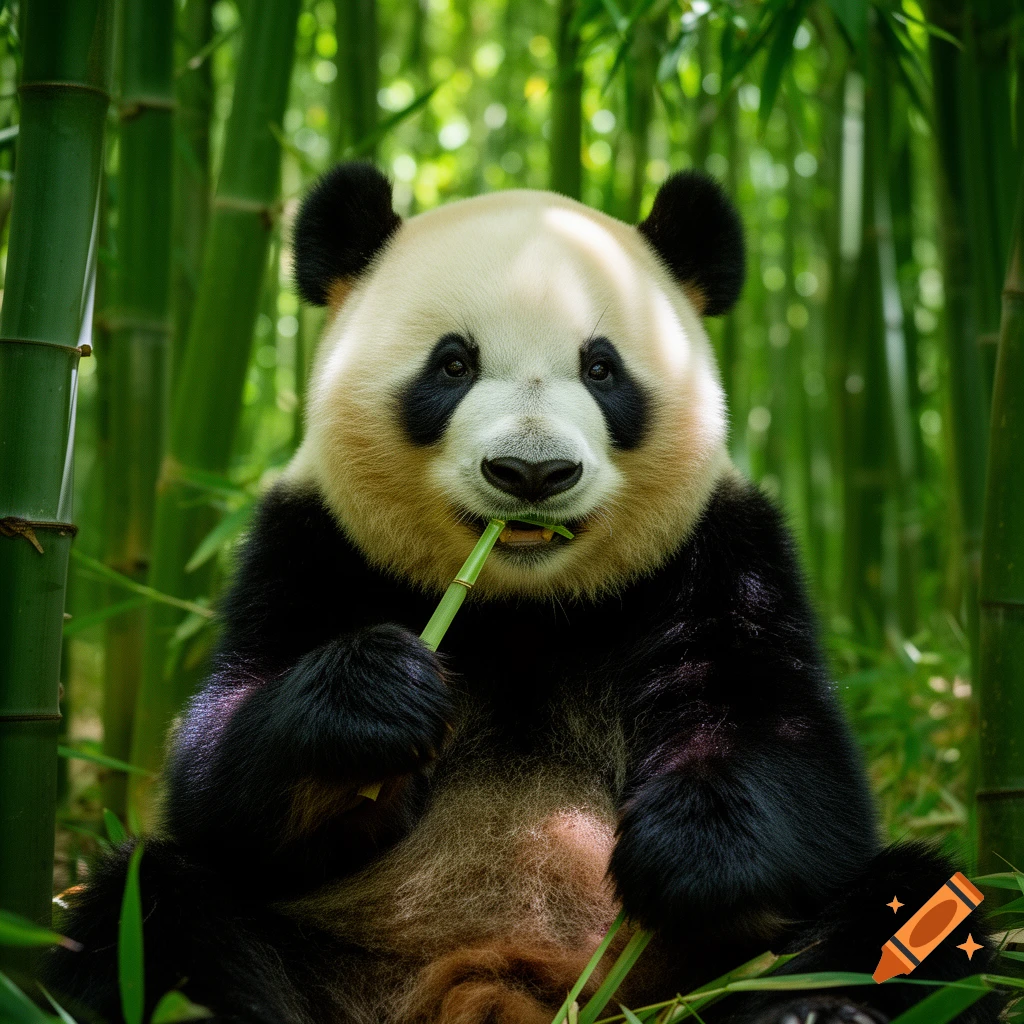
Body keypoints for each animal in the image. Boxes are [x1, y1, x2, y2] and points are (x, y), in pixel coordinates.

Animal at [49, 164, 998, 1024]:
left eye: (603, 369)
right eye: (453, 364)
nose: (532, 473)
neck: (521, 605)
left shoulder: (724, 556)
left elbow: (802, 765)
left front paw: (686, 847)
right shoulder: (308, 544)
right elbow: (220, 783)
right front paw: (379, 692)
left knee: (914, 906)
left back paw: (812, 1010)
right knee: (152, 906)